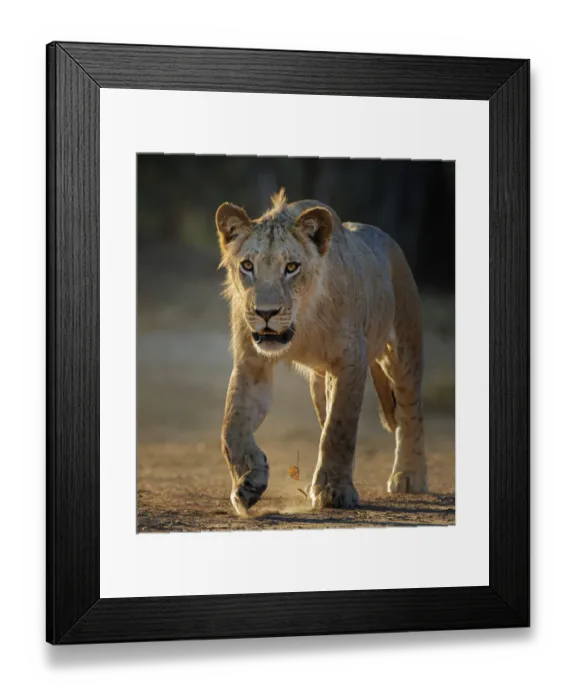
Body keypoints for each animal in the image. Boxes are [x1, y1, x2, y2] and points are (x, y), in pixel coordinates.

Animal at [216, 189, 428, 515]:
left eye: (291, 267)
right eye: (248, 266)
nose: (266, 313)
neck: (302, 322)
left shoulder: (351, 360)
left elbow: (338, 428)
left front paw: (333, 491)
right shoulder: (252, 364)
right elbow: (232, 426)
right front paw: (248, 483)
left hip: (403, 350)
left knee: (410, 411)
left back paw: (409, 475)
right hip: (319, 381)